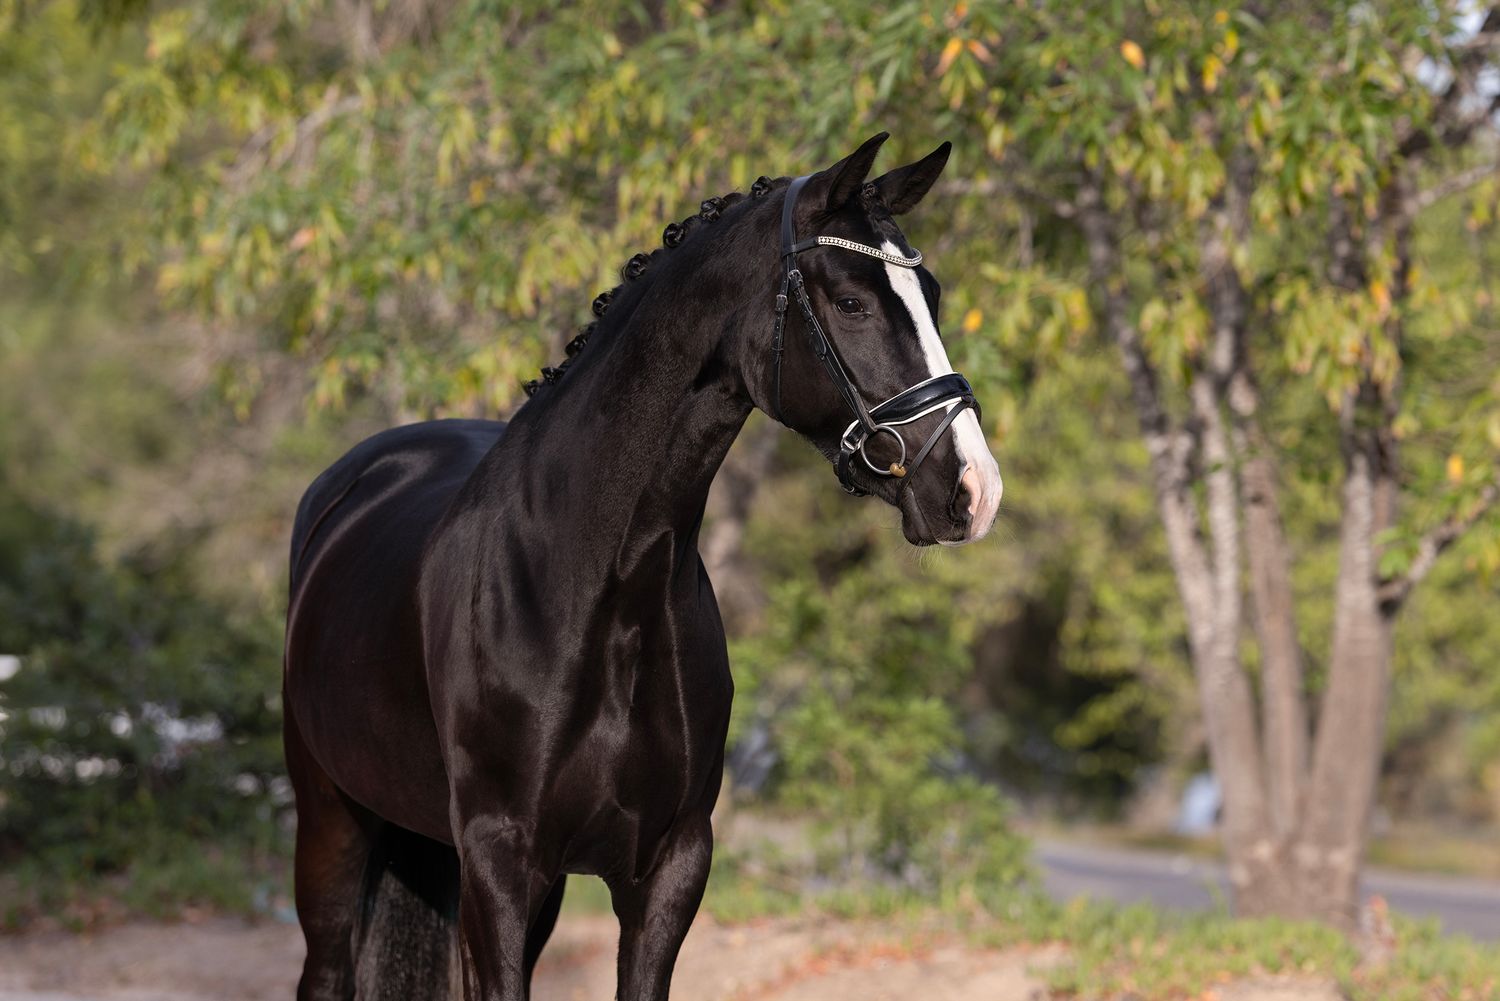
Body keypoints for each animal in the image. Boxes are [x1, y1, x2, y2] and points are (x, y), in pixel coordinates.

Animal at [282, 132, 1003, 1001]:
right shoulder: (498, 858)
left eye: (930, 293)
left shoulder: (669, 865)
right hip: (332, 820)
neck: (601, 586)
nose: (973, 488)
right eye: (853, 303)